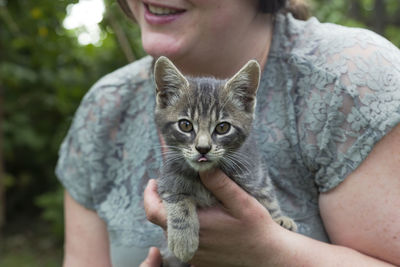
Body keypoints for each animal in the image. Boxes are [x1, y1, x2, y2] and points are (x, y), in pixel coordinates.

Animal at [153, 56, 296, 266]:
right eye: (185, 125)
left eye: (222, 128)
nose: (203, 148)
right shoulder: (168, 178)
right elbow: (177, 198)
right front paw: (183, 240)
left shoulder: (254, 171)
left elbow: (267, 195)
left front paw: (278, 218)